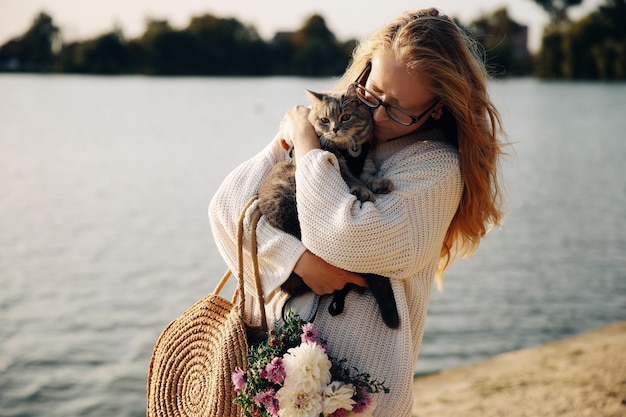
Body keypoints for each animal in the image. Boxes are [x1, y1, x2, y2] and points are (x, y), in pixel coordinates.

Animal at [255, 85, 398, 328]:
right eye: (324, 120)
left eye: (346, 117)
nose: (335, 128)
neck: (348, 148)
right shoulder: (337, 163)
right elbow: (351, 179)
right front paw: (363, 190)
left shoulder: (365, 164)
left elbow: (367, 177)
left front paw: (380, 184)